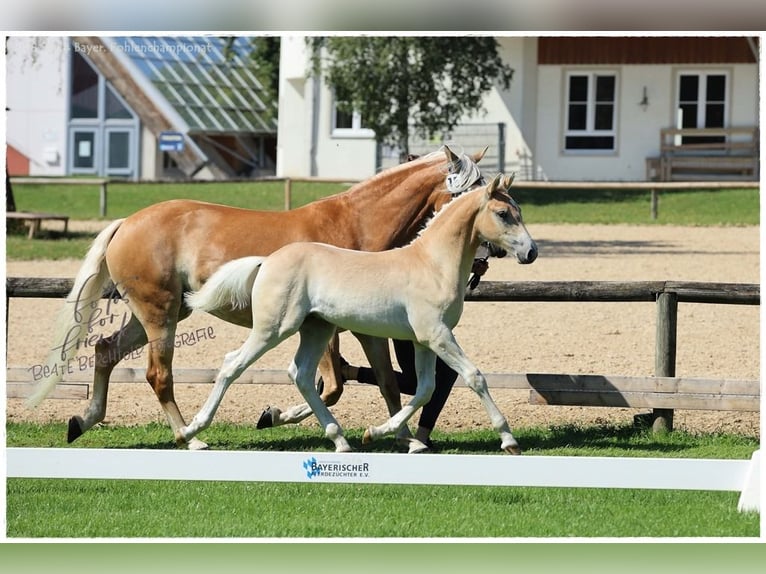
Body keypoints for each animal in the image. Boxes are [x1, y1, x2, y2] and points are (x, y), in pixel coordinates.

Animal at [30, 144, 488, 450]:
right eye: (479, 193)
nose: (487, 257)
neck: (355, 226)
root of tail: (126, 222)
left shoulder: (366, 330)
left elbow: (387, 384)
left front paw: (405, 438)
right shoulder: (329, 329)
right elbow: (333, 384)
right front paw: (277, 417)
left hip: (158, 314)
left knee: (106, 350)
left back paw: (83, 420)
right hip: (159, 314)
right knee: (159, 375)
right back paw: (189, 437)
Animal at [182, 172, 536, 454]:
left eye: (519, 211)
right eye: (503, 213)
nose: (530, 252)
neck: (432, 264)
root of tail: (267, 260)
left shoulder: (423, 341)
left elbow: (424, 389)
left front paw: (380, 434)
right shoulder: (437, 335)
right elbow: (473, 377)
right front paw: (509, 440)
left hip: (316, 329)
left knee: (302, 375)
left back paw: (340, 440)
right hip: (274, 328)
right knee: (232, 365)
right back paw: (190, 431)